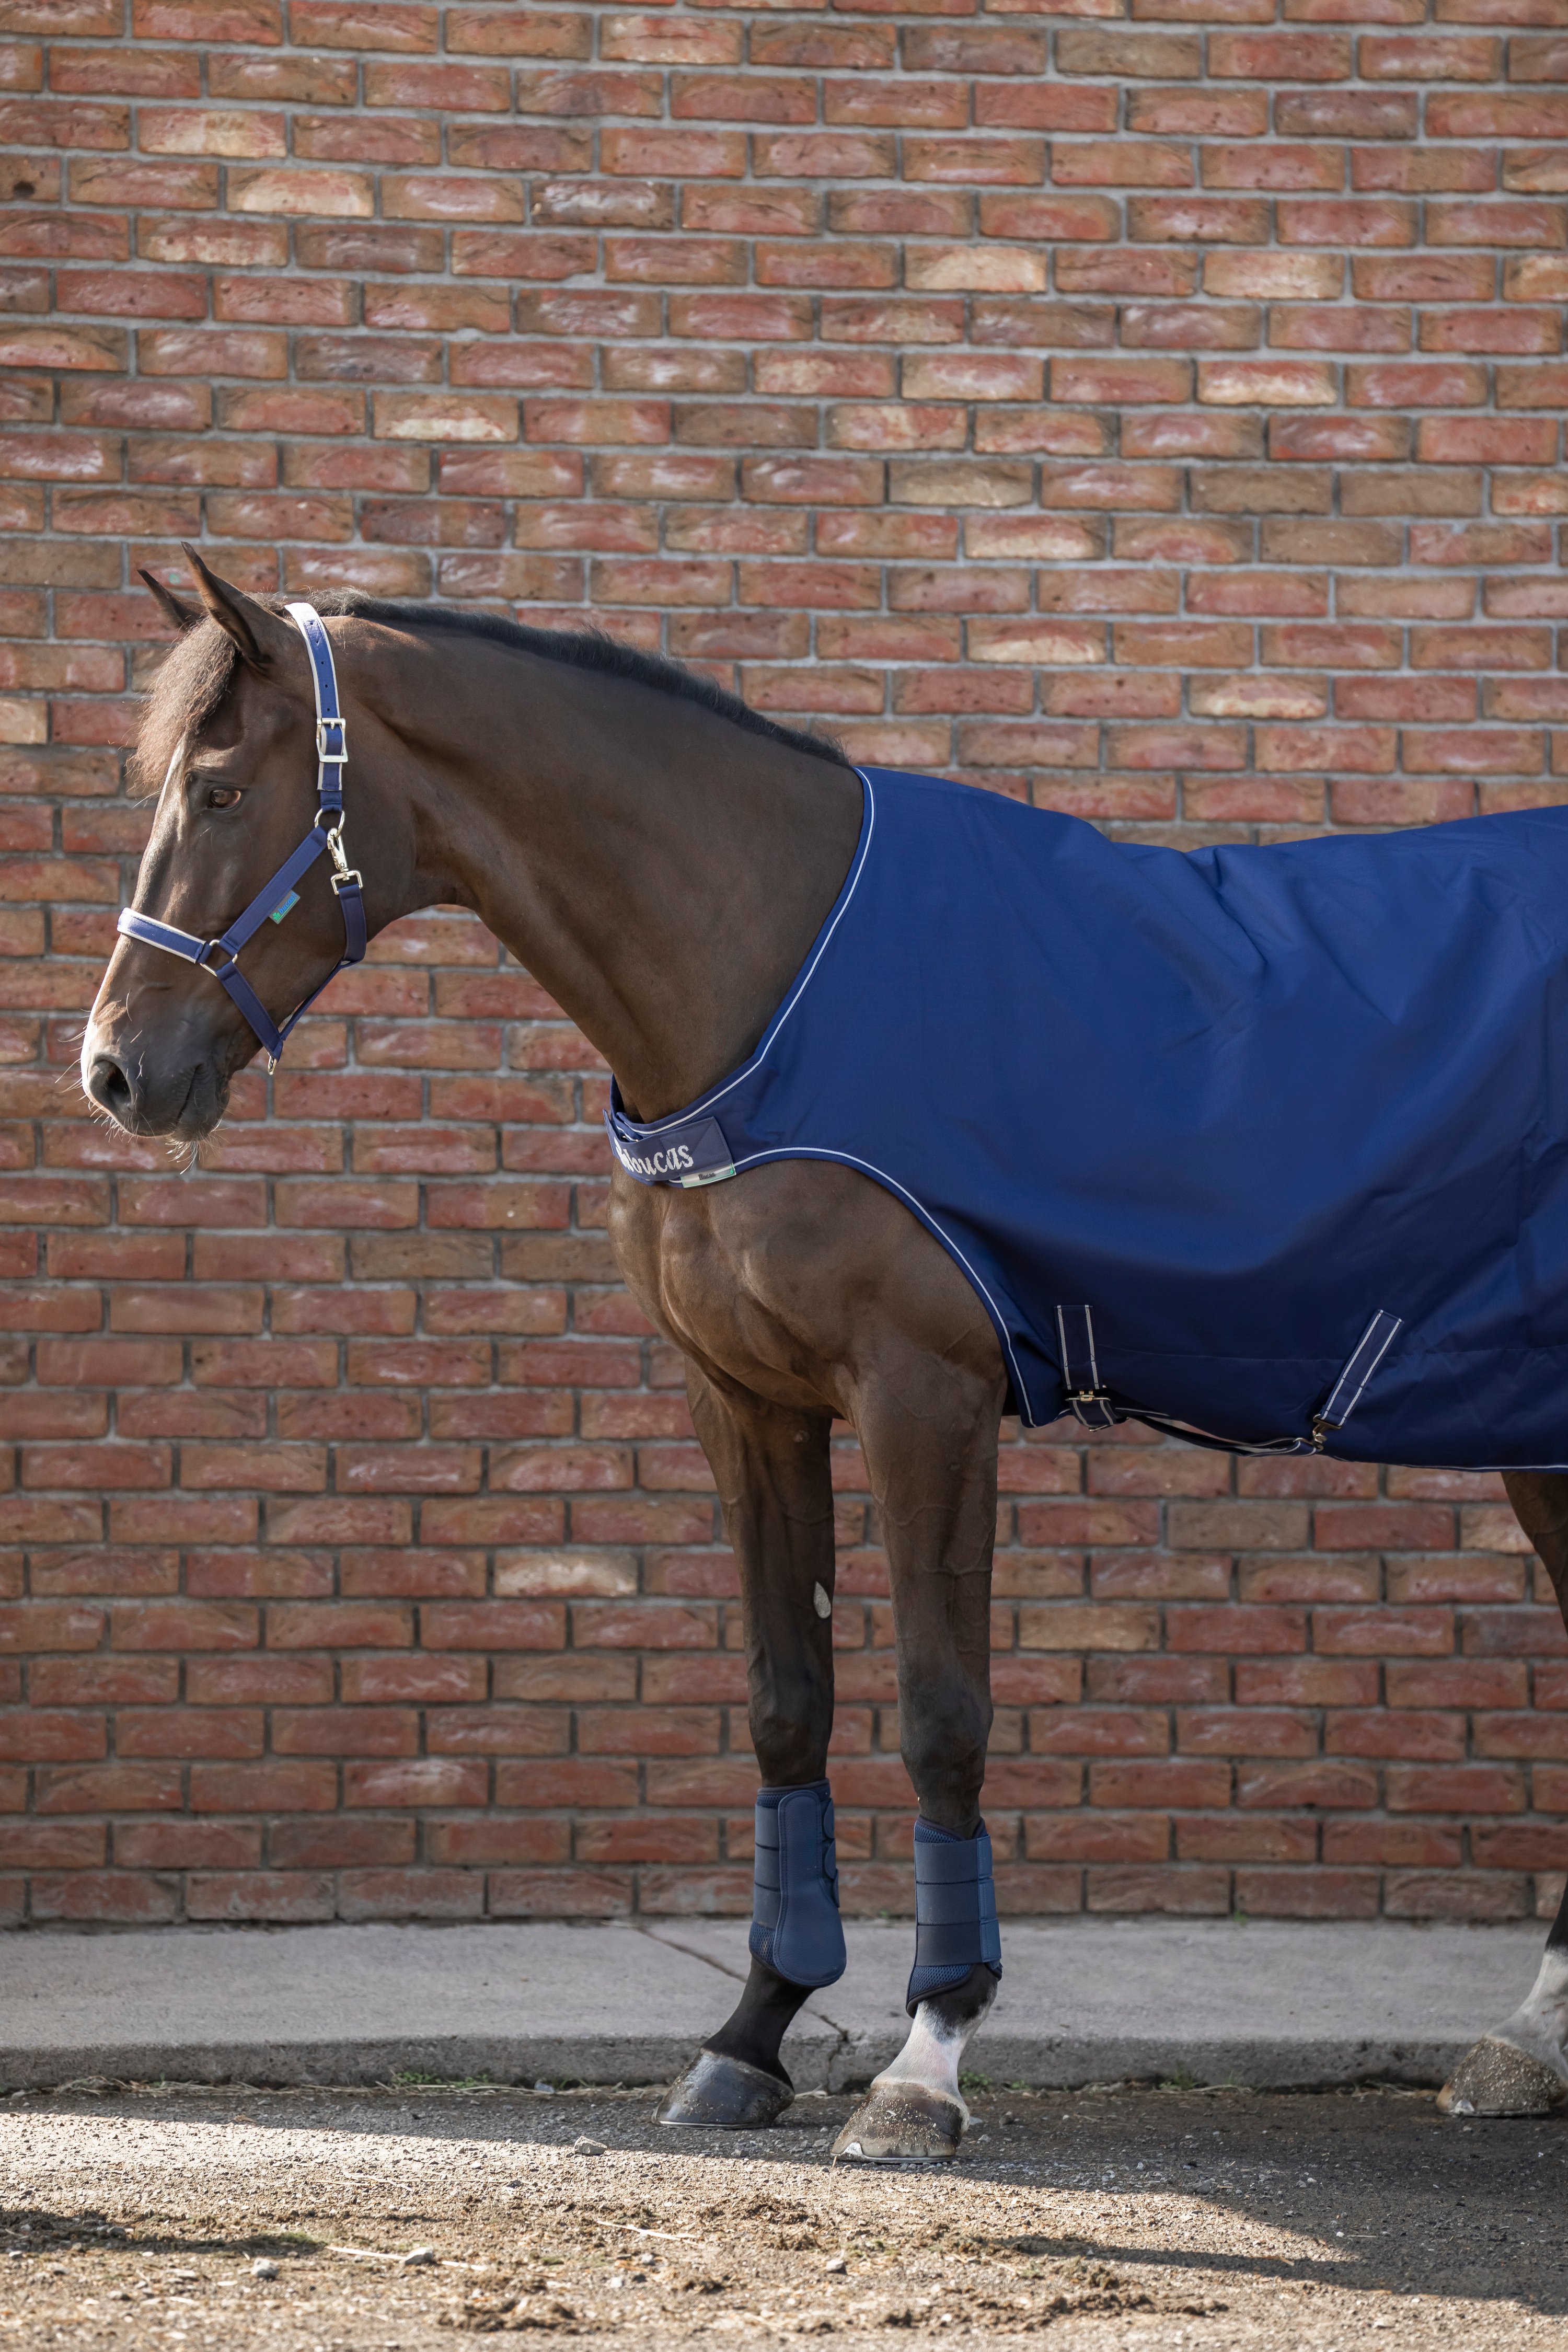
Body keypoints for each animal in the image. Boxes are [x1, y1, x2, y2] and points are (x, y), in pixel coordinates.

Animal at [80, 550, 1568, 2155]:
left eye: (220, 789)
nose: (115, 1071)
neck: (769, 977)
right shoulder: (746, 1398)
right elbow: (785, 1706)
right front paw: (751, 2032)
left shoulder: (927, 1395)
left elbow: (938, 1713)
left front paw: (926, 2058)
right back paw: (1528, 2041)